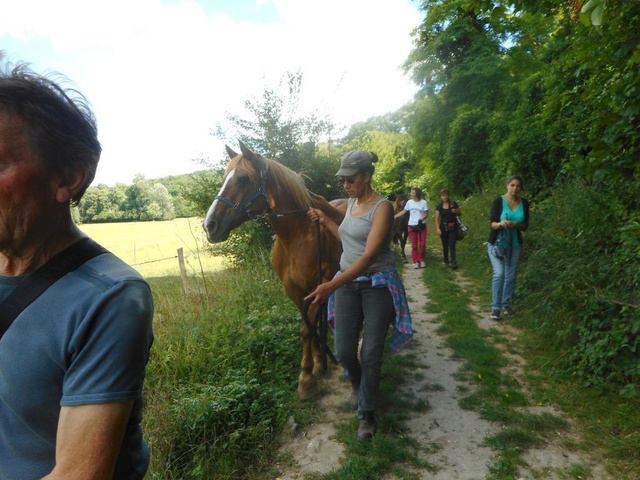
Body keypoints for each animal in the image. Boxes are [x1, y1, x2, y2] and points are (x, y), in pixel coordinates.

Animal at [204, 141, 344, 400]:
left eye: (242, 179)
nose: (209, 225)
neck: (298, 235)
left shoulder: (316, 287)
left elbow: (305, 330)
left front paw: (306, 379)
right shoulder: (295, 291)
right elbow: (308, 326)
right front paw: (317, 365)